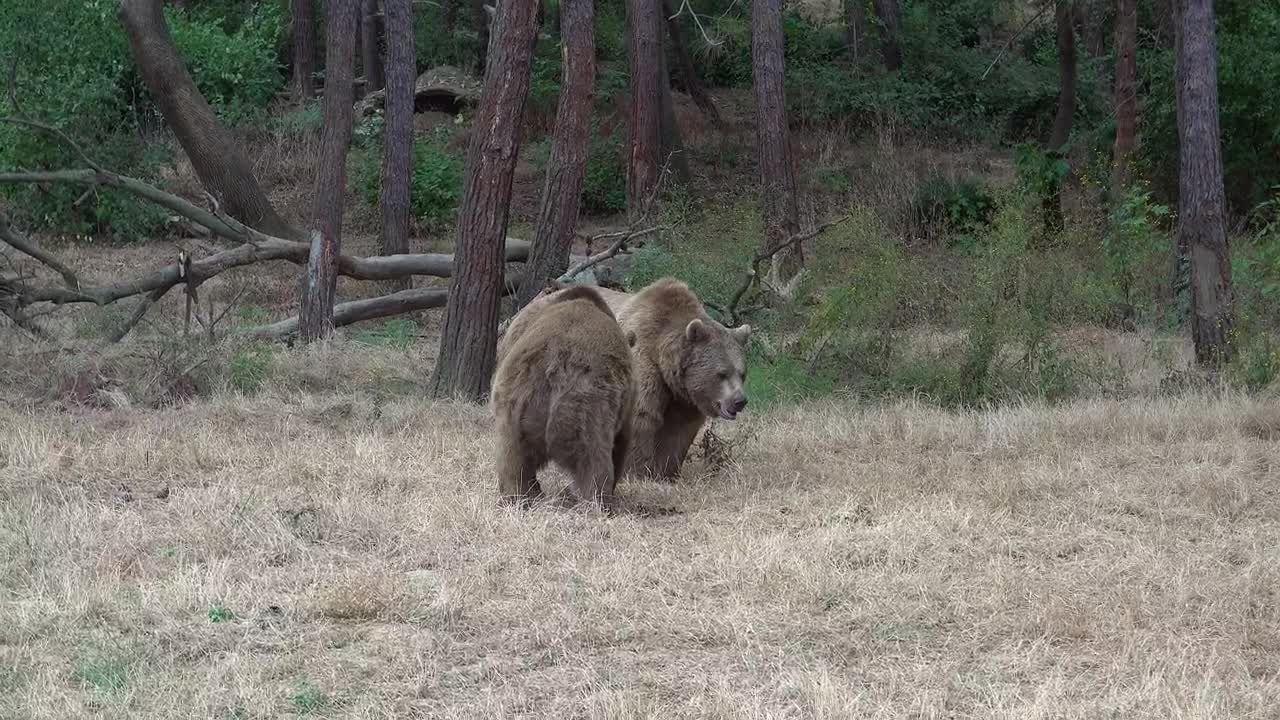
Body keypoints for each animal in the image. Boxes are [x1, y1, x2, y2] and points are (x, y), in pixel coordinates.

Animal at [490, 284, 636, 508]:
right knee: (594, 459)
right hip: (591, 404)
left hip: (515, 398)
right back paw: (598, 501)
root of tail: (557, 360)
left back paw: (518, 496)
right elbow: (621, 442)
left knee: (512, 455)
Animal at [611, 277, 752, 481]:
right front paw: (634, 473)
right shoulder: (643, 360)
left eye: (742, 373)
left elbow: (679, 430)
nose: (739, 401)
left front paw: (666, 473)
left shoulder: (684, 396)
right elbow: (641, 415)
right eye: (722, 373)